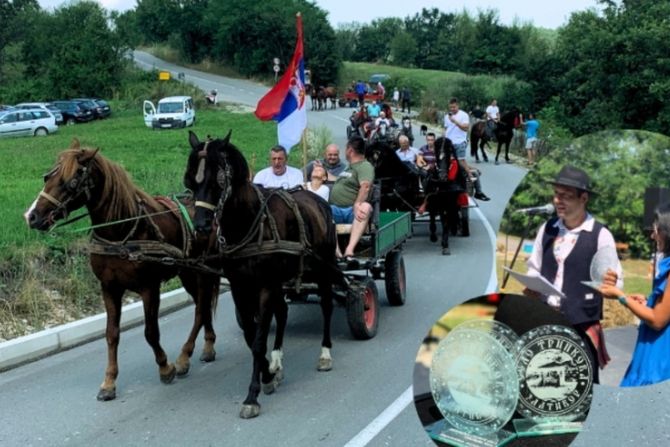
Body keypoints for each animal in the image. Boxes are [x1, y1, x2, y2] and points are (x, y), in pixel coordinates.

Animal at [24, 141, 220, 402]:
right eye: (48, 176)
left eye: (71, 182)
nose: (32, 216)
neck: (120, 232)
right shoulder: (109, 288)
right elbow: (112, 334)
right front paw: (109, 382)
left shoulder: (149, 288)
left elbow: (150, 332)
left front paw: (165, 367)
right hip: (187, 272)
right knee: (203, 305)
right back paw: (207, 347)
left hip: (203, 271)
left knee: (200, 309)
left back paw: (184, 357)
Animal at [186, 130, 350, 420]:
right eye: (191, 180)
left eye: (218, 180)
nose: (202, 227)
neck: (248, 222)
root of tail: (318, 199)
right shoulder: (241, 286)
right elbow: (252, 335)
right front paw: (268, 374)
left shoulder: (265, 285)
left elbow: (260, 338)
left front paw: (253, 395)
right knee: (282, 313)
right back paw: (277, 361)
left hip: (323, 267)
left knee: (327, 306)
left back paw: (325, 354)